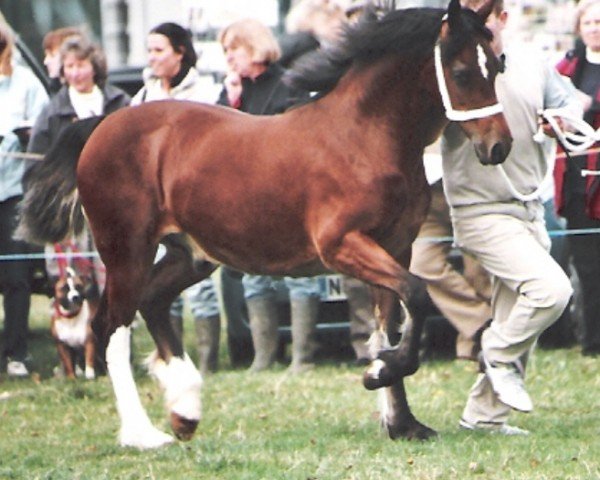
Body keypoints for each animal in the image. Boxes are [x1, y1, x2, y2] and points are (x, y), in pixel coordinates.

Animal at [18, 0, 510, 448]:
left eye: (499, 65)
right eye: (462, 72)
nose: (499, 147)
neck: (365, 137)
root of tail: (100, 127)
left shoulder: (395, 247)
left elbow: (388, 325)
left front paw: (402, 422)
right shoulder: (344, 245)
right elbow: (417, 296)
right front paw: (379, 374)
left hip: (191, 254)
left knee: (153, 302)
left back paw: (185, 410)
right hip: (127, 252)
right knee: (110, 328)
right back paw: (144, 434)